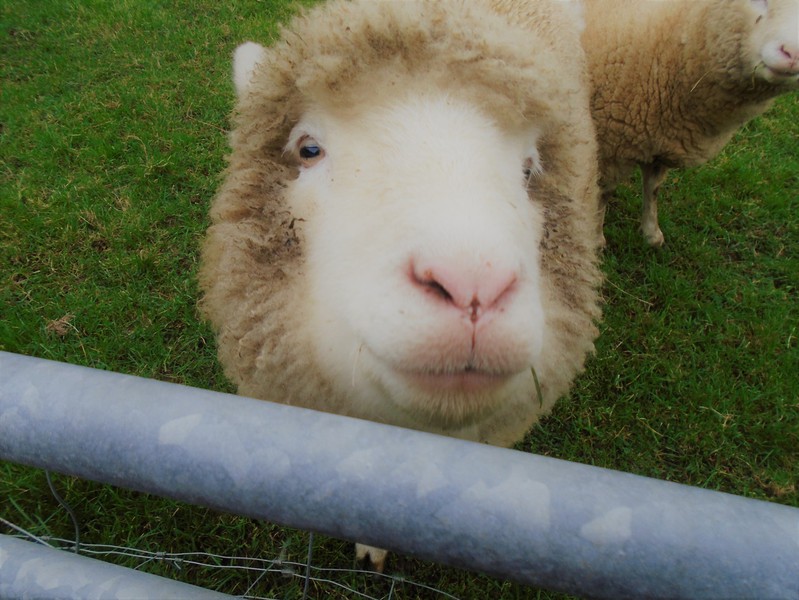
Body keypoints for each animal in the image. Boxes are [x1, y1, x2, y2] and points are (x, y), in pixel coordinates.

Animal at [583, 0, 799, 247]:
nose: (792, 53)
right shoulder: (608, 145)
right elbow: (603, 194)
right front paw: (596, 240)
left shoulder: (660, 141)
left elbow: (653, 187)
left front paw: (651, 233)